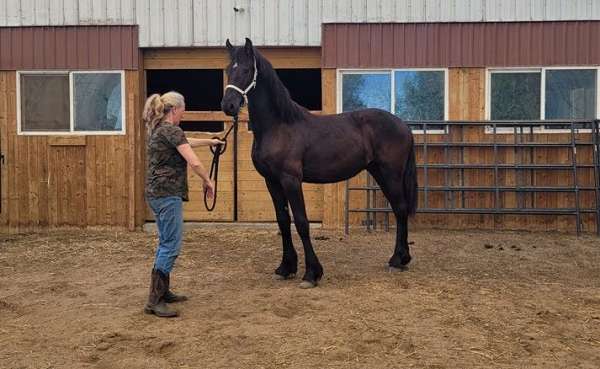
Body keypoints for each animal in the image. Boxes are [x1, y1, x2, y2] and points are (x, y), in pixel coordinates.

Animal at [220, 39, 418, 288]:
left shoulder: (291, 180)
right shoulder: (272, 181)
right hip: (379, 172)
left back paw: (398, 260)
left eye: (246, 70)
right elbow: (283, 221)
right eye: (229, 70)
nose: (228, 105)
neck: (279, 126)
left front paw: (311, 274)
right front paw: (286, 267)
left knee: (400, 209)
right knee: (399, 209)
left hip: (391, 174)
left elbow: (302, 223)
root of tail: (403, 125)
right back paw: (399, 259)